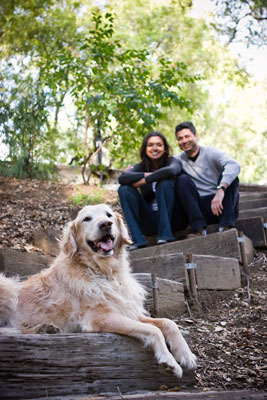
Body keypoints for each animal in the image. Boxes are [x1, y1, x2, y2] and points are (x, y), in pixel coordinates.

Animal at [0, 205, 197, 376]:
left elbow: (168, 323)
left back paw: (44, 329)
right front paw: (169, 361)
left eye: (109, 215)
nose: (105, 224)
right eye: (86, 219)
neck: (105, 273)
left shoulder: (128, 310)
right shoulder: (101, 317)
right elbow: (153, 330)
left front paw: (185, 354)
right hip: (7, 286)